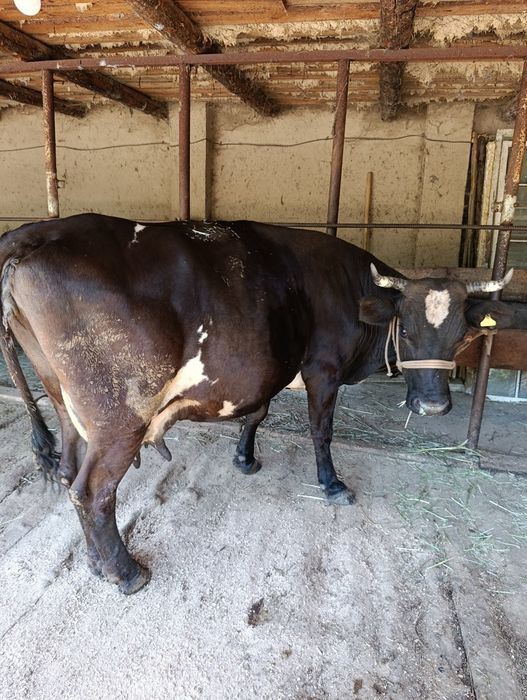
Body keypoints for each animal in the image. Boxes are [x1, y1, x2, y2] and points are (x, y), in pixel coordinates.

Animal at [0, 214, 513, 594]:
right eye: (405, 329)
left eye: (462, 333)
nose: (433, 407)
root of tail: (37, 232)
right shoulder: (323, 369)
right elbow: (321, 429)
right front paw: (332, 484)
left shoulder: (272, 369)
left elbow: (259, 413)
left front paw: (244, 458)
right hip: (119, 416)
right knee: (92, 490)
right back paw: (126, 573)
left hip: (61, 394)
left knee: (68, 468)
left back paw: (94, 561)